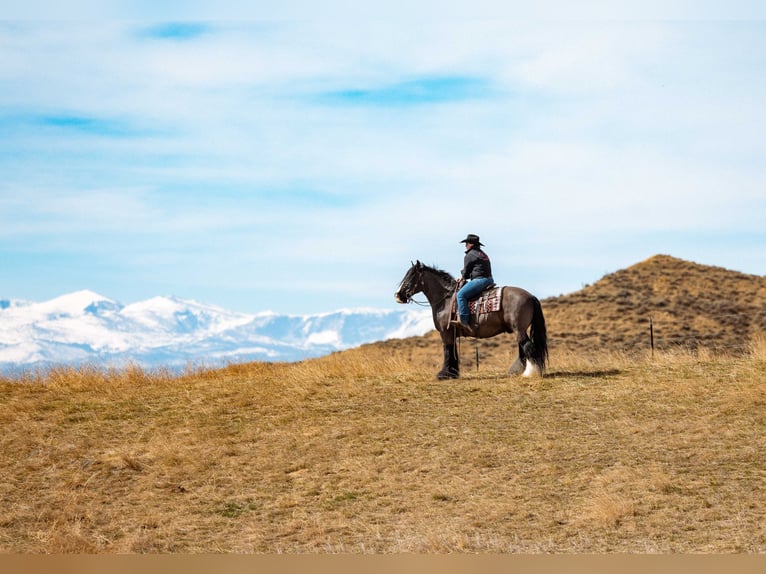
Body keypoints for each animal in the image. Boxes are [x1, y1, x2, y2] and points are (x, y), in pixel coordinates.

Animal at [395, 261, 548, 379]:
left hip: (519, 329)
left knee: (528, 346)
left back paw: (529, 373)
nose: (398, 295)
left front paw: (444, 374)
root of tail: (530, 296)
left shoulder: (445, 332)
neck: (445, 299)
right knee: (523, 347)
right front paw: (453, 373)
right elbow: (452, 351)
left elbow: (447, 350)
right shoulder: (451, 333)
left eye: (410, 276)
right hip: (518, 330)